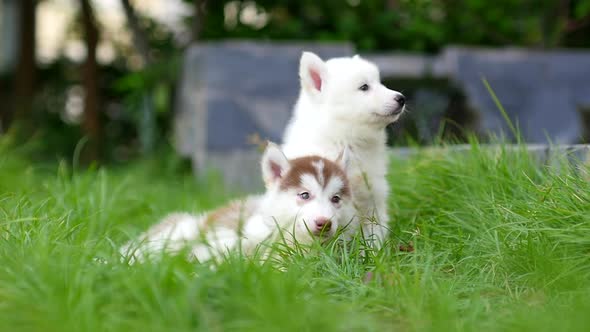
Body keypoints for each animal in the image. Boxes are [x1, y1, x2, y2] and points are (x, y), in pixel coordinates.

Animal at [284, 52, 408, 248]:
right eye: (364, 87)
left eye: (380, 83)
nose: (401, 98)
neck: (347, 142)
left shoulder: (372, 202)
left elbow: (373, 237)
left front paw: (375, 255)